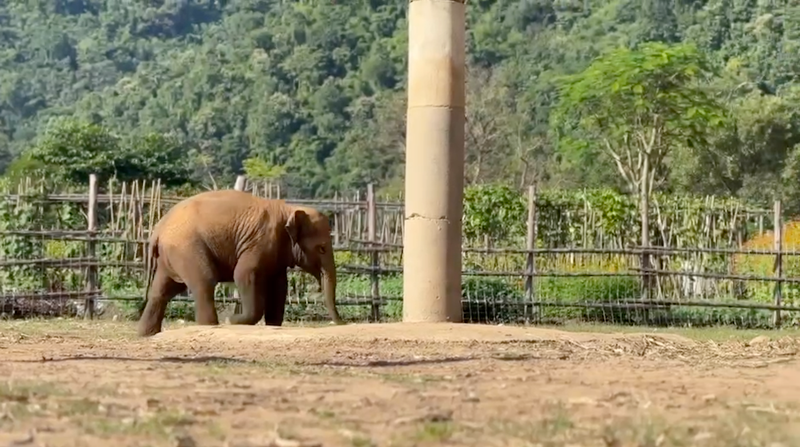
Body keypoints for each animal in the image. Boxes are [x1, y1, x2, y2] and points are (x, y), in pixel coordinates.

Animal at [138, 187, 344, 338]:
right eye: (322, 248)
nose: (343, 322)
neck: (289, 209)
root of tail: (157, 230)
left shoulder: (275, 253)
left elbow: (279, 286)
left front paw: (272, 326)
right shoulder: (260, 242)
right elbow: (243, 275)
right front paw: (231, 320)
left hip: (171, 257)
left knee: (161, 291)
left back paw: (147, 334)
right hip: (187, 249)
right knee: (204, 283)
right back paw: (211, 326)